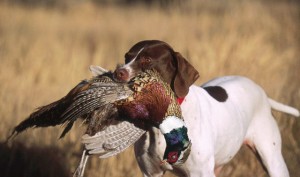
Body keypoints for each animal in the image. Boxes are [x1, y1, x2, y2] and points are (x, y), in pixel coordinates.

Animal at [113, 40, 298, 177]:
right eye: (126, 57)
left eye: (147, 60)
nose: (118, 73)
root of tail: (261, 92)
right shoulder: (151, 173)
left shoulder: (200, 172)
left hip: (273, 161)